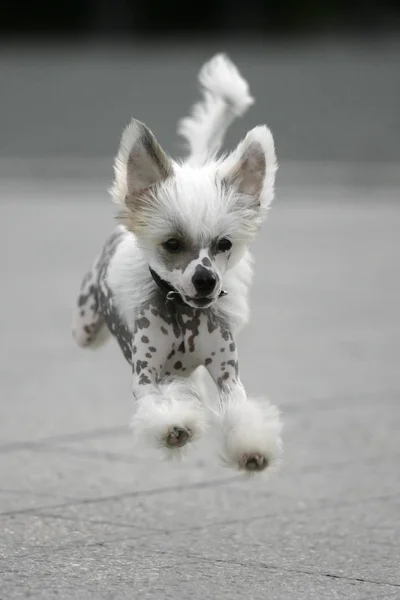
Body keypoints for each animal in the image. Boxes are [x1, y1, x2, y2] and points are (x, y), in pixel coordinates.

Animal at [73, 52, 282, 474]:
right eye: (172, 244)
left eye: (224, 244)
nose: (205, 281)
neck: (184, 315)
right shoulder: (146, 376)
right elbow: (161, 406)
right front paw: (175, 428)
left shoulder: (227, 375)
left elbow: (239, 409)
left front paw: (252, 448)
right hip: (85, 325)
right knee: (90, 334)